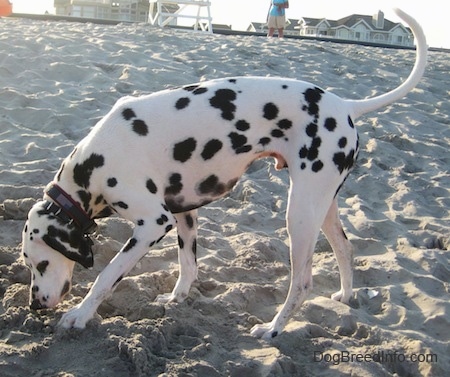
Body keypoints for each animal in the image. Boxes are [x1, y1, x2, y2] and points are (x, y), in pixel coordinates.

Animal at [22, 8, 426, 338]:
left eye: (39, 262)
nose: (32, 305)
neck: (93, 166)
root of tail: (345, 105)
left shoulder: (153, 223)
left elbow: (107, 275)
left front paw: (80, 315)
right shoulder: (183, 213)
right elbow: (187, 265)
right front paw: (178, 296)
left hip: (299, 214)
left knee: (302, 281)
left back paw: (273, 329)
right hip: (321, 207)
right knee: (345, 248)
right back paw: (344, 295)